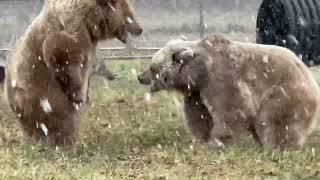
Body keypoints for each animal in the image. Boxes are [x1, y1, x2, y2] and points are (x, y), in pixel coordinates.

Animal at [4, 0, 142, 146]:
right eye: (130, 15)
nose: (140, 29)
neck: (91, 22)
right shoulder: (72, 28)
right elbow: (60, 49)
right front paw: (78, 96)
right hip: (37, 98)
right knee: (59, 121)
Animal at [139, 34, 320, 150]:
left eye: (152, 67)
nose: (140, 77)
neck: (198, 72)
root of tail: (310, 77)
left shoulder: (220, 79)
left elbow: (232, 110)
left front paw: (218, 140)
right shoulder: (197, 91)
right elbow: (200, 115)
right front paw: (204, 139)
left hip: (285, 94)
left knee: (272, 120)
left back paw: (276, 146)